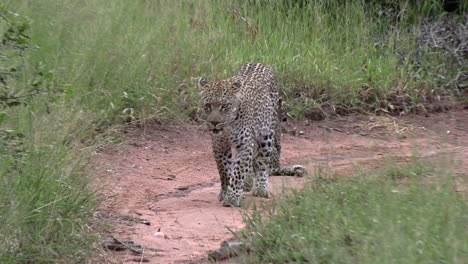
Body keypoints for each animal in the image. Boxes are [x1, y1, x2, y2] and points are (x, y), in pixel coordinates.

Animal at [198, 62, 302, 206]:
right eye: (207, 106)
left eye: (225, 106)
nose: (214, 122)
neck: (228, 126)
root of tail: (258, 62)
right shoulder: (219, 145)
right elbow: (224, 170)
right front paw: (226, 192)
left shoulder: (245, 144)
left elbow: (239, 171)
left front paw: (232, 197)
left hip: (266, 136)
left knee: (263, 162)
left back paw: (260, 188)